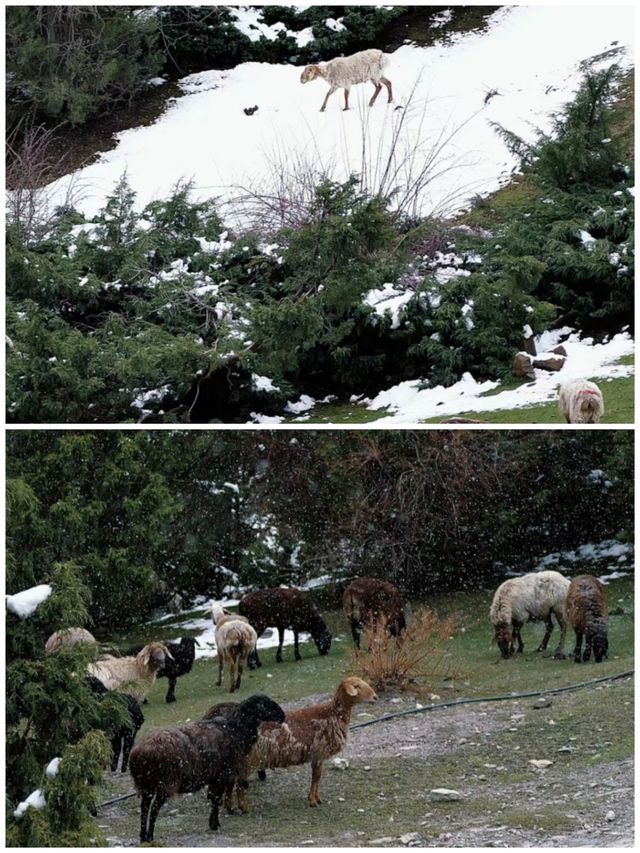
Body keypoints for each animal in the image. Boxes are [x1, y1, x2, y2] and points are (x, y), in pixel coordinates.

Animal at [129, 696, 284, 844]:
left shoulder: (217, 777)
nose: (282, 716)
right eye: (263, 704)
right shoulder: (222, 775)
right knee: (154, 809)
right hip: (165, 783)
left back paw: (143, 837)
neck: (235, 729)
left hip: (146, 785)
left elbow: (215, 798)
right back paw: (150, 837)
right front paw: (214, 824)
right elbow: (216, 799)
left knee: (144, 808)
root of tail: (138, 752)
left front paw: (214, 822)